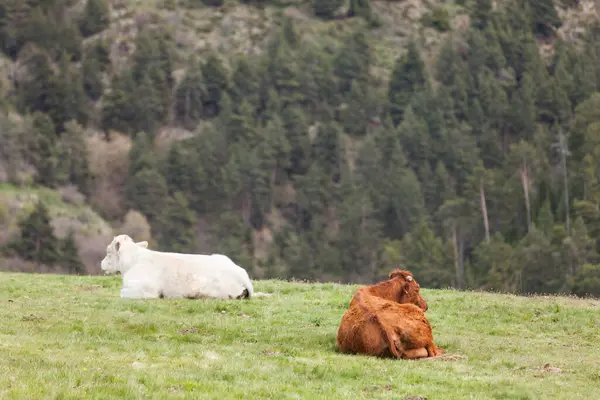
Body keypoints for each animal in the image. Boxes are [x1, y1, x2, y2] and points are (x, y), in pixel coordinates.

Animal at [101, 234, 270, 300]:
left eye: (108, 252)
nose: (101, 263)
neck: (132, 262)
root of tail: (242, 274)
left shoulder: (144, 289)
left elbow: (122, 294)